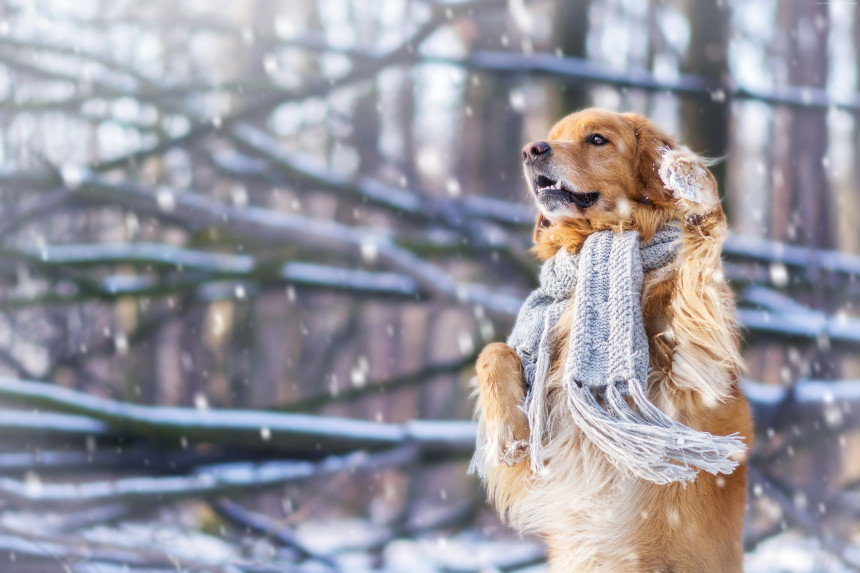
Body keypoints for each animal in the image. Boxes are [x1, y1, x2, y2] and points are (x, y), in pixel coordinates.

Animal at [470, 108, 752, 572]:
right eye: (552, 136)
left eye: (597, 139)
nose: (531, 150)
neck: (600, 237)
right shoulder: (547, 453)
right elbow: (493, 352)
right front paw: (510, 434)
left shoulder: (692, 371)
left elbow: (697, 264)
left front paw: (691, 180)